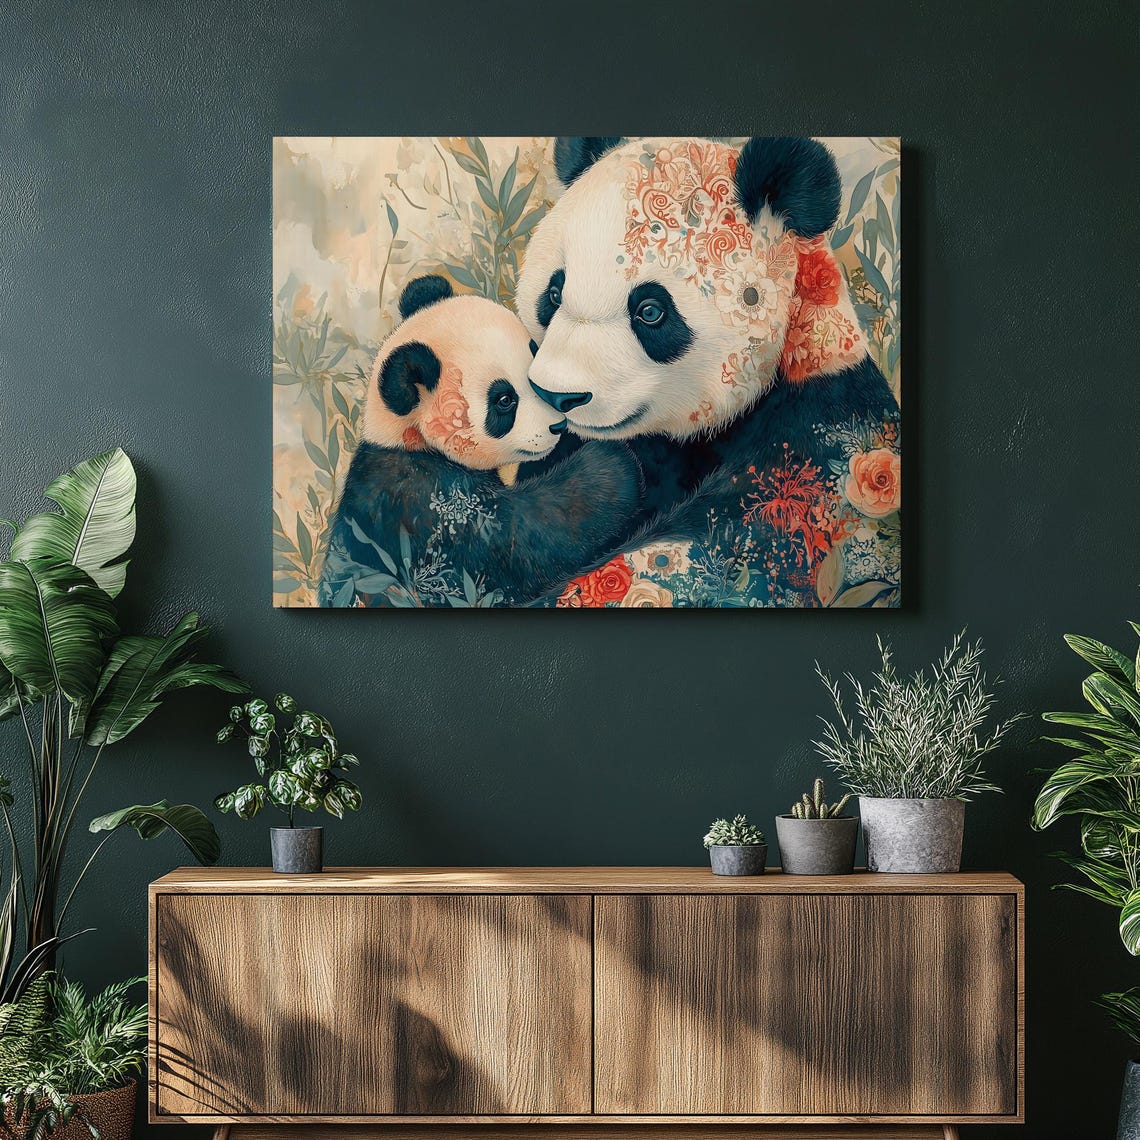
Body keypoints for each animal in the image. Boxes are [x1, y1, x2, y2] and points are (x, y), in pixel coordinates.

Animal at [318, 275, 642, 607]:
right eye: (504, 400)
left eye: (534, 360)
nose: (558, 425)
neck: (407, 438)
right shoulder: (429, 506)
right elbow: (515, 547)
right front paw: (609, 463)